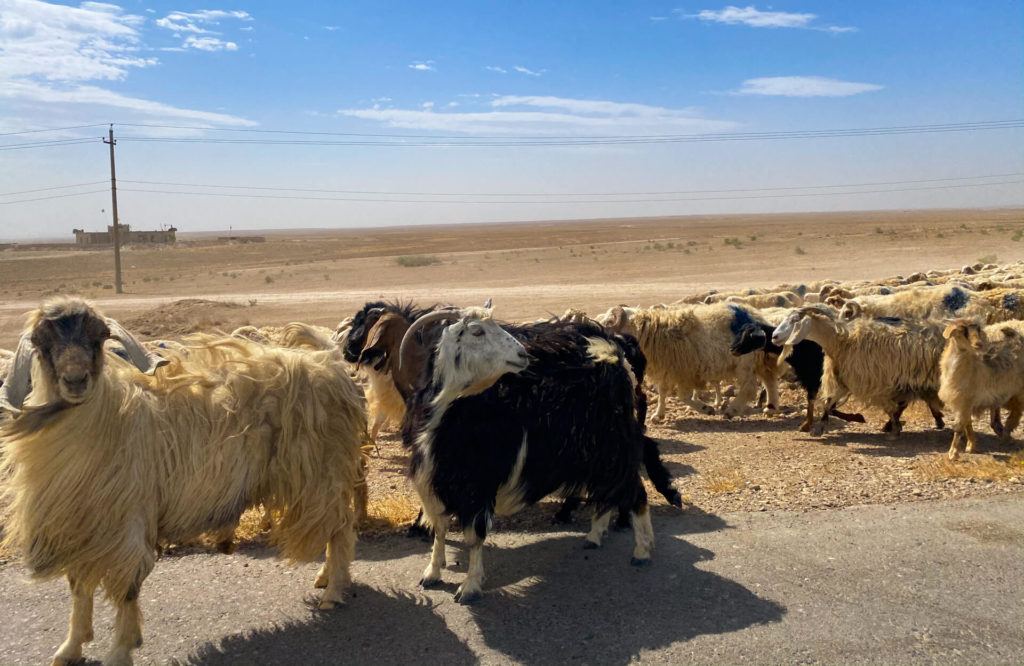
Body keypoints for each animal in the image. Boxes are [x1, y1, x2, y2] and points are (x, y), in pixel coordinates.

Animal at [0, 297, 368, 663]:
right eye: (41, 341)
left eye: (100, 336)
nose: (75, 380)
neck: (107, 415)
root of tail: (329, 360)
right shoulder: (78, 527)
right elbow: (79, 589)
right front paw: (71, 647)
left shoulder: (126, 524)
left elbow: (126, 590)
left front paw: (120, 649)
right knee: (338, 526)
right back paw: (328, 578)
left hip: (322, 472)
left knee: (341, 527)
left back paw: (334, 590)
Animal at [397, 309, 655, 602]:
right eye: (477, 331)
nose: (522, 354)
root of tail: (613, 349)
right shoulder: (433, 482)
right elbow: (439, 529)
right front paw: (431, 573)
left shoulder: (478, 486)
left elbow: (475, 536)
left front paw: (469, 586)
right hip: (595, 455)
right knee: (606, 493)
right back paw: (594, 536)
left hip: (614, 448)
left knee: (635, 492)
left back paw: (641, 552)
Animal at [598, 301, 778, 418]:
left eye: (608, 322)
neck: (653, 331)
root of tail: (758, 319)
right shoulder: (667, 369)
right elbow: (663, 391)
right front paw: (658, 415)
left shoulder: (684, 371)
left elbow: (683, 396)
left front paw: (705, 408)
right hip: (759, 360)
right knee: (769, 381)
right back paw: (771, 407)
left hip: (745, 360)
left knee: (749, 388)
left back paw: (731, 410)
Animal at [770, 305, 946, 436]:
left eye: (795, 320)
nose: (774, 336)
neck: (840, 341)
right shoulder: (843, 377)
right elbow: (829, 403)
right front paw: (820, 427)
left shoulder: (876, 380)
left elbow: (891, 406)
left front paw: (894, 427)